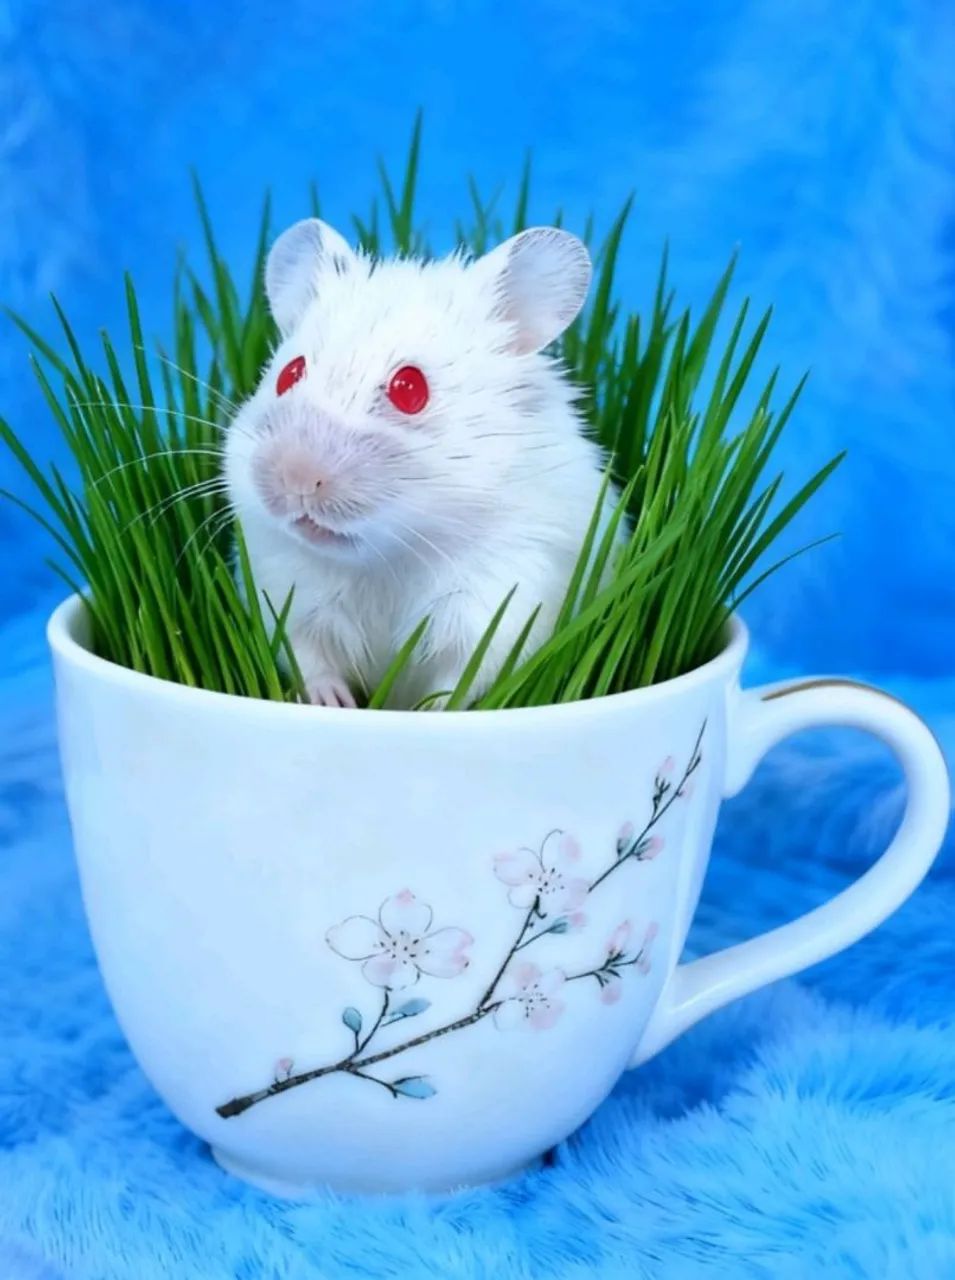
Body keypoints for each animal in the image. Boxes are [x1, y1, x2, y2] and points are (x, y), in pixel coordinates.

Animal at [223, 217, 610, 708]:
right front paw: (334, 702)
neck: (387, 558)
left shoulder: (500, 604)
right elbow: (308, 659)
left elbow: (460, 683)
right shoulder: (281, 589)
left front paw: (428, 713)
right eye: (289, 374)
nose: (296, 479)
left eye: (410, 389)